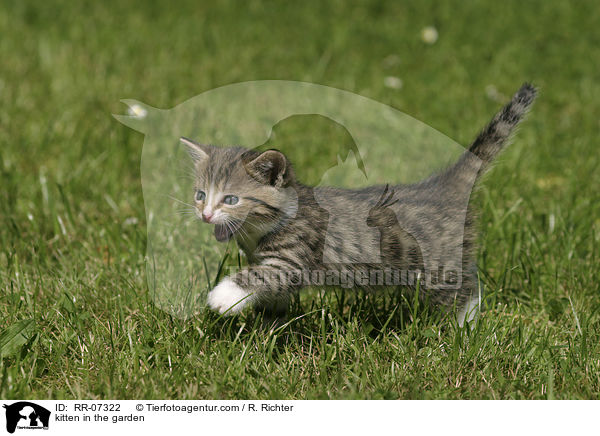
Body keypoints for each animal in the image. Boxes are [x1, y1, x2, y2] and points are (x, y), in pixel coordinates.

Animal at [180, 84, 536, 328]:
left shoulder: (293, 259)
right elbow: (272, 290)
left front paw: (222, 296)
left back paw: (465, 330)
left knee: (465, 291)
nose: (205, 214)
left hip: (438, 264)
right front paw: (269, 324)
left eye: (231, 199)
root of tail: (443, 185)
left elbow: (260, 276)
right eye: (200, 194)